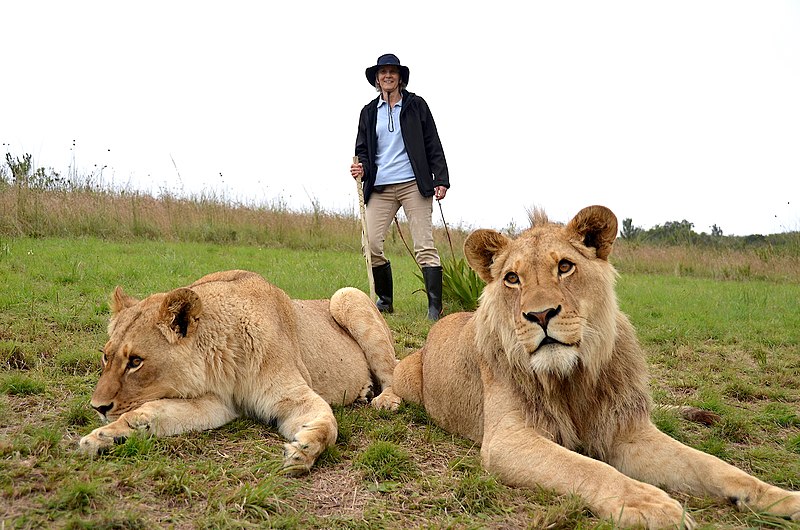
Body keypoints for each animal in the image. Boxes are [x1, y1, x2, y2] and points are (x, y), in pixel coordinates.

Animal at [81, 270, 400, 472]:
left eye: (135, 361)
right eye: (106, 357)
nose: (98, 407)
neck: (219, 363)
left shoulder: (293, 396)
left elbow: (327, 426)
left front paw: (303, 451)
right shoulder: (217, 403)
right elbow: (149, 413)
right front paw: (104, 437)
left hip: (348, 296)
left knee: (391, 372)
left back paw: (383, 399)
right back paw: (364, 391)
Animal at [394, 205, 800, 524]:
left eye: (565, 266)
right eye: (512, 278)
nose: (540, 315)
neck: (570, 376)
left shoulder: (627, 431)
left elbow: (711, 465)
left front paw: (780, 498)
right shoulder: (507, 439)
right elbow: (588, 467)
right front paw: (650, 503)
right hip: (404, 374)